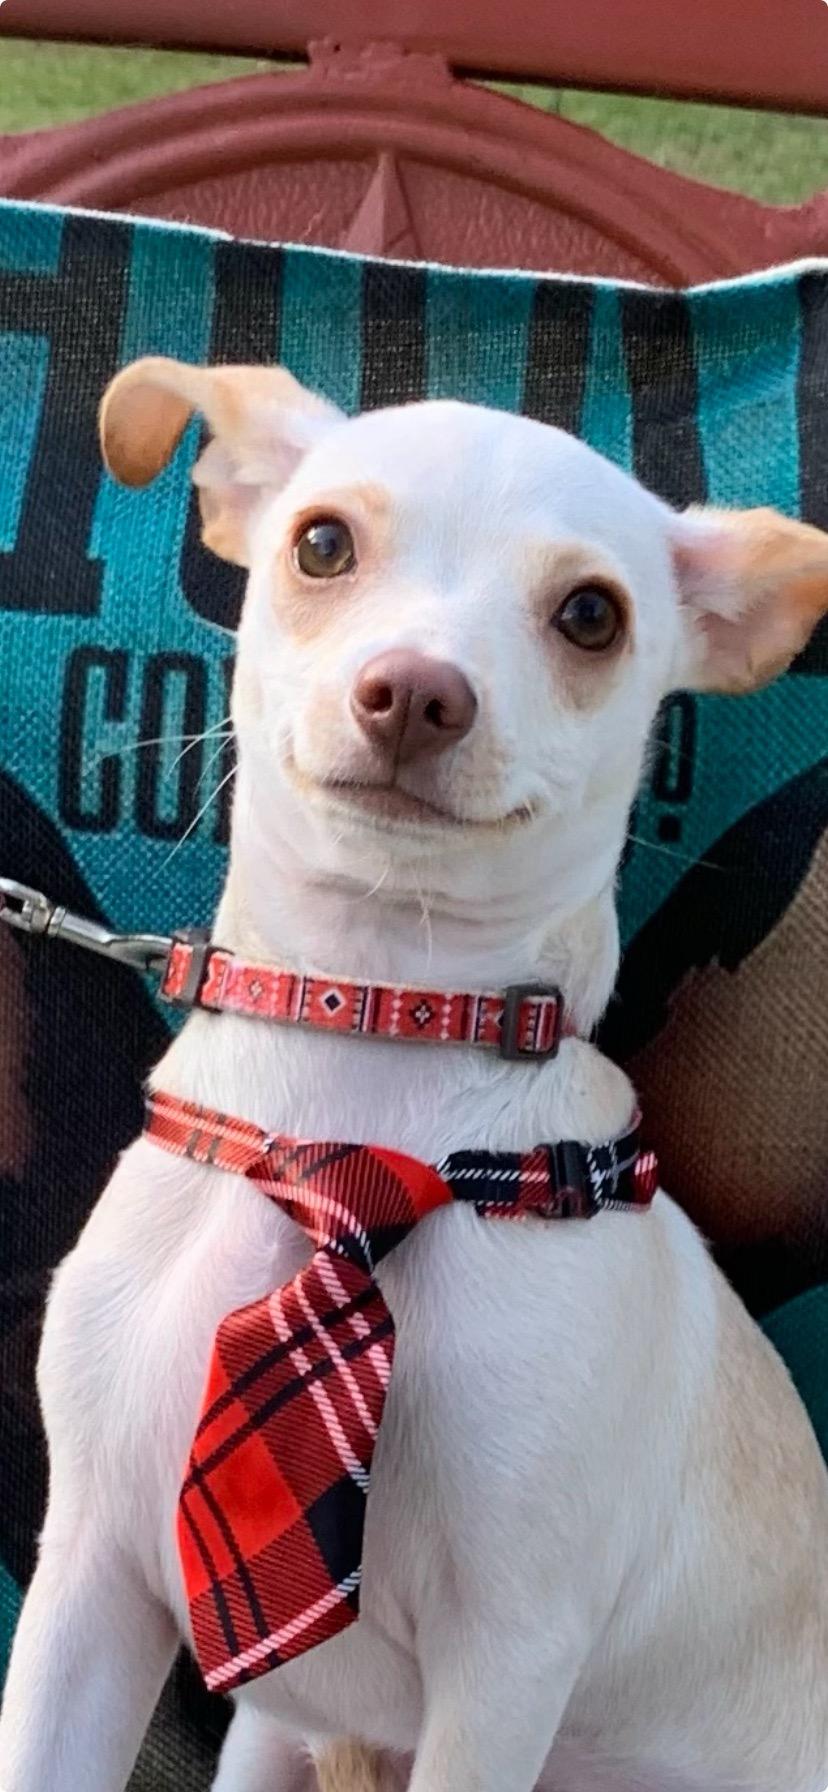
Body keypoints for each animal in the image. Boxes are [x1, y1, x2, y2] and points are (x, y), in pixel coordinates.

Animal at [0, 358, 826, 1792]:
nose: (417, 692)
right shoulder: (88, 1585)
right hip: (270, 1736)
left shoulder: (505, 1665)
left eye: (592, 616)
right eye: (322, 544)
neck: (373, 1035)